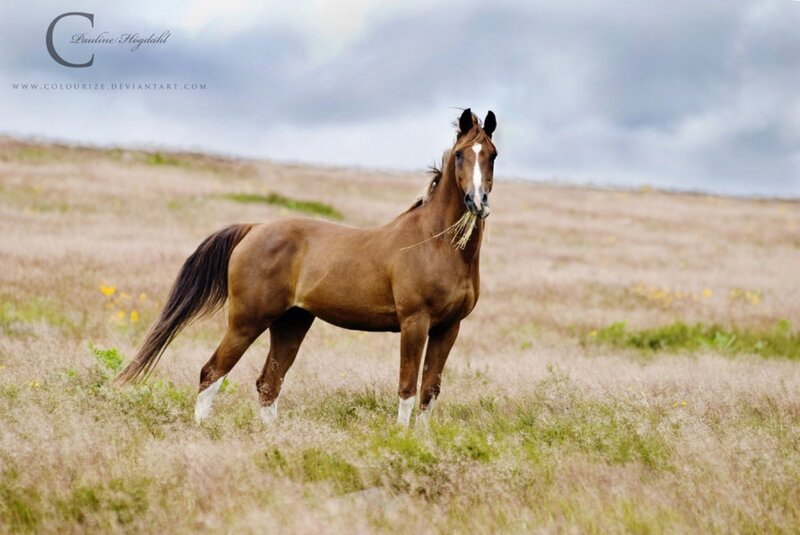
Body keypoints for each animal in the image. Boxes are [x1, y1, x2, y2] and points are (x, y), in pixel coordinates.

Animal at [116, 108, 498, 428]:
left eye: (492, 154)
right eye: (462, 154)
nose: (477, 202)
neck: (435, 243)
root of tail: (253, 229)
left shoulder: (448, 328)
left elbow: (429, 391)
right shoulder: (414, 322)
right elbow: (407, 388)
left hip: (291, 322)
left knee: (267, 384)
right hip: (247, 321)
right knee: (212, 372)